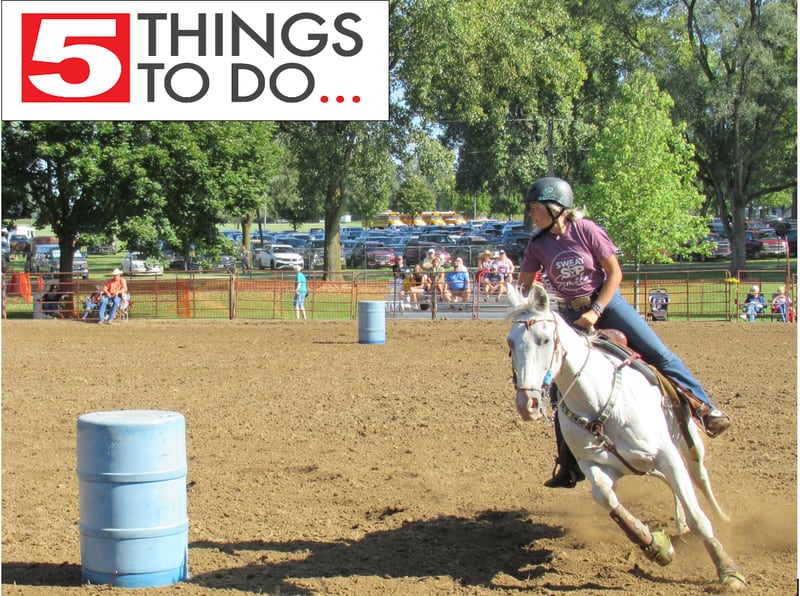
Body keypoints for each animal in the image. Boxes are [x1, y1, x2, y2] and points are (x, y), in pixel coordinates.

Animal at [504, 286, 748, 592]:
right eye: (510, 343)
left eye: (545, 339)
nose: (527, 404)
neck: (597, 400)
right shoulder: (594, 466)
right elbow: (606, 498)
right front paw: (656, 546)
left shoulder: (666, 454)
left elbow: (699, 517)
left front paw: (728, 571)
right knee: (673, 484)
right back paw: (679, 527)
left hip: (689, 442)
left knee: (699, 478)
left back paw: (721, 517)